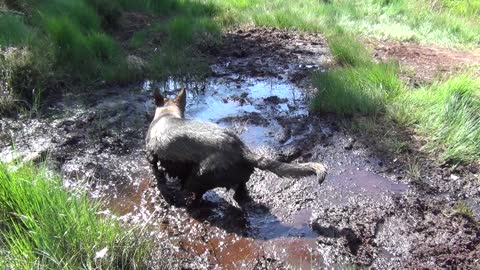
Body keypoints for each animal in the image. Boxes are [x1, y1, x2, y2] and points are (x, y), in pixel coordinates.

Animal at [145, 88, 326, 205]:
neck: (167, 115)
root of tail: (241, 150)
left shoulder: (151, 155)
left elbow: (155, 168)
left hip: (198, 177)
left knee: (196, 195)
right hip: (239, 179)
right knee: (240, 192)